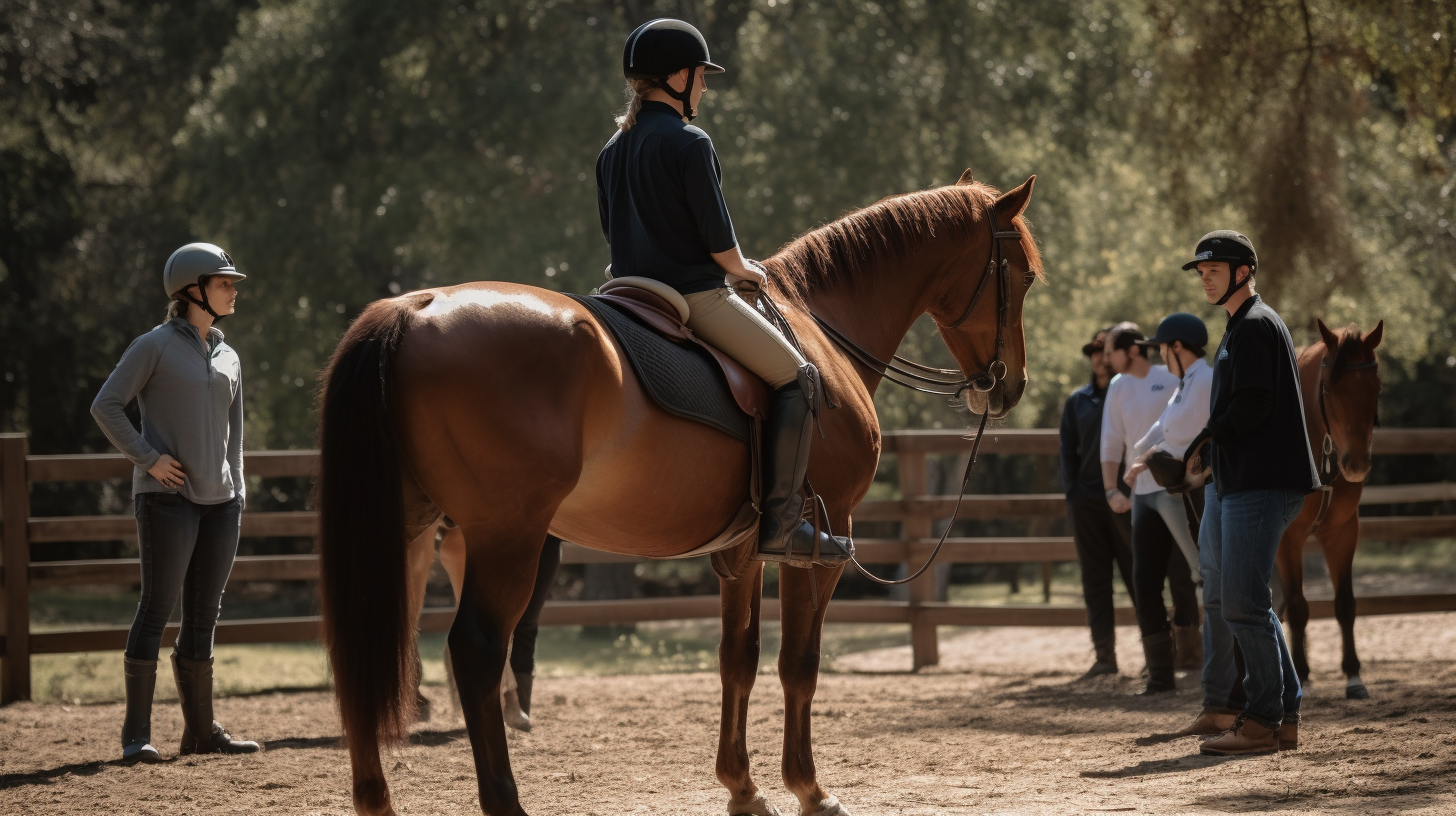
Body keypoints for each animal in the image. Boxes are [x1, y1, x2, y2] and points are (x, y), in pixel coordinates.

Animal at [314, 171, 1042, 816]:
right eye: (1025, 274)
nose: (1008, 386)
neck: (819, 331)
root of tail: (414, 307)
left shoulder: (743, 551)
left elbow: (738, 661)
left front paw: (743, 788)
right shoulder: (820, 545)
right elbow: (798, 664)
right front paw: (809, 790)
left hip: (406, 530)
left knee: (363, 652)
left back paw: (375, 801)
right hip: (506, 537)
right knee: (476, 652)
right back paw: (503, 803)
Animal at [1281, 316, 1380, 699]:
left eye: (1376, 387)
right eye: (1328, 390)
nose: (1356, 464)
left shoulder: (1342, 532)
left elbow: (1345, 604)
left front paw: (1353, 675)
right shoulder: (1287, 539)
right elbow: (1297, 607)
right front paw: (1302, 675)